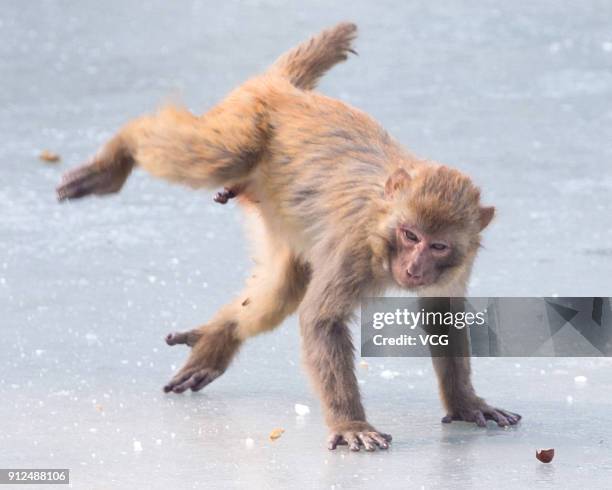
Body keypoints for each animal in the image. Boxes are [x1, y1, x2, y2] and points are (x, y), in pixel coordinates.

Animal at [57, 23, 520, 452]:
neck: (381, 230)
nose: (415, 267)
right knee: (212, 157)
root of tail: (284, 89)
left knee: (282, 288)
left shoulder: (458, 266)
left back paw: (220, 337)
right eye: (409, 235)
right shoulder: (354, 247)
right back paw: (122, 149)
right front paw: (351, 423)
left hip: (276, 213)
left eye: (437, 245)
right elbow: (321, 320)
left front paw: (465, 403)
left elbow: (443, 318)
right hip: (246, 126)